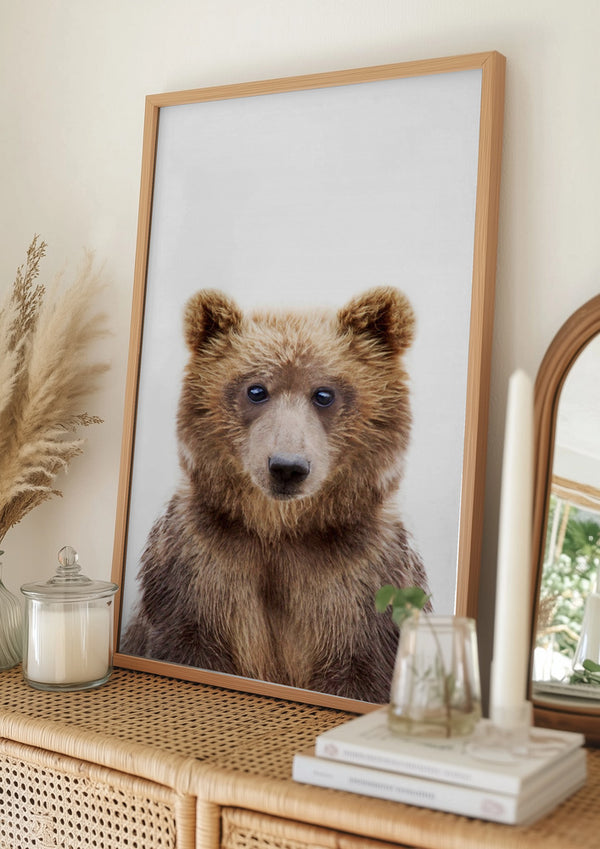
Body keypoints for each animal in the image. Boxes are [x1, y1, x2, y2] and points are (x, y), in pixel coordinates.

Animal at [122, 286, 429, 703]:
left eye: (324, 394)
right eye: (256, 390)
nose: (287, 467)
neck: (281, 532)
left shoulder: (361, 585)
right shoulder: (200, 570)